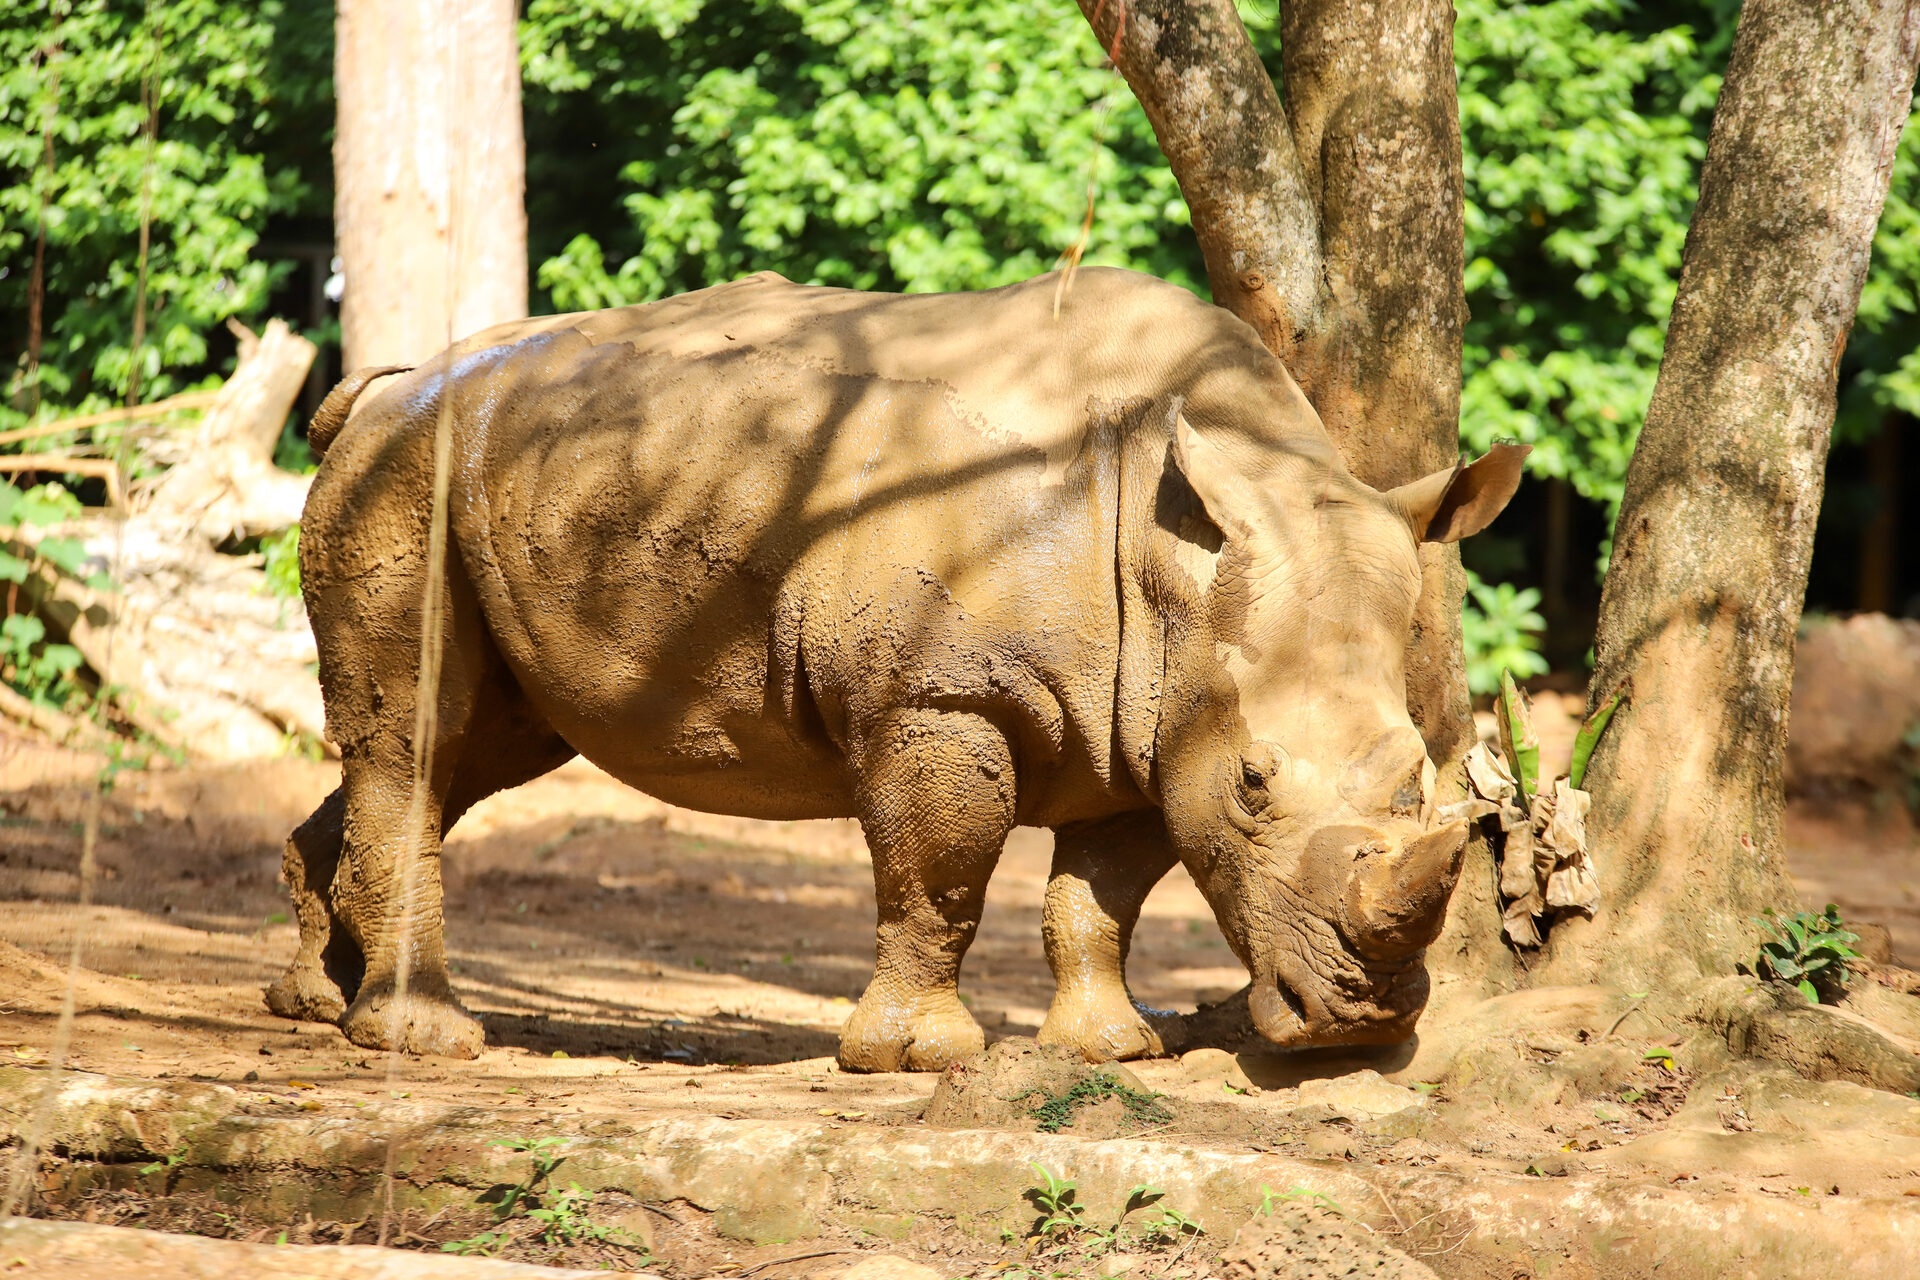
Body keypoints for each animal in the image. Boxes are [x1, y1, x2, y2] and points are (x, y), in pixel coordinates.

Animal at [265, 267, 1525, 1070]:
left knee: (472, 746)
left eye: (1418, 776)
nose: (1361, 1020)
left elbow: (1099, 895)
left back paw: (317, 1003)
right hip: (408, 478)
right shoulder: (939, 691)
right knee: (417, 735)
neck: (1174, 545)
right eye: (1258, 784)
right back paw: (424, 1037)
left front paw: (1115, 1047)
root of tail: (379, 392)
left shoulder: (1157, 719)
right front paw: (920, 1056)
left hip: (519, 486)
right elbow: (944, 874)